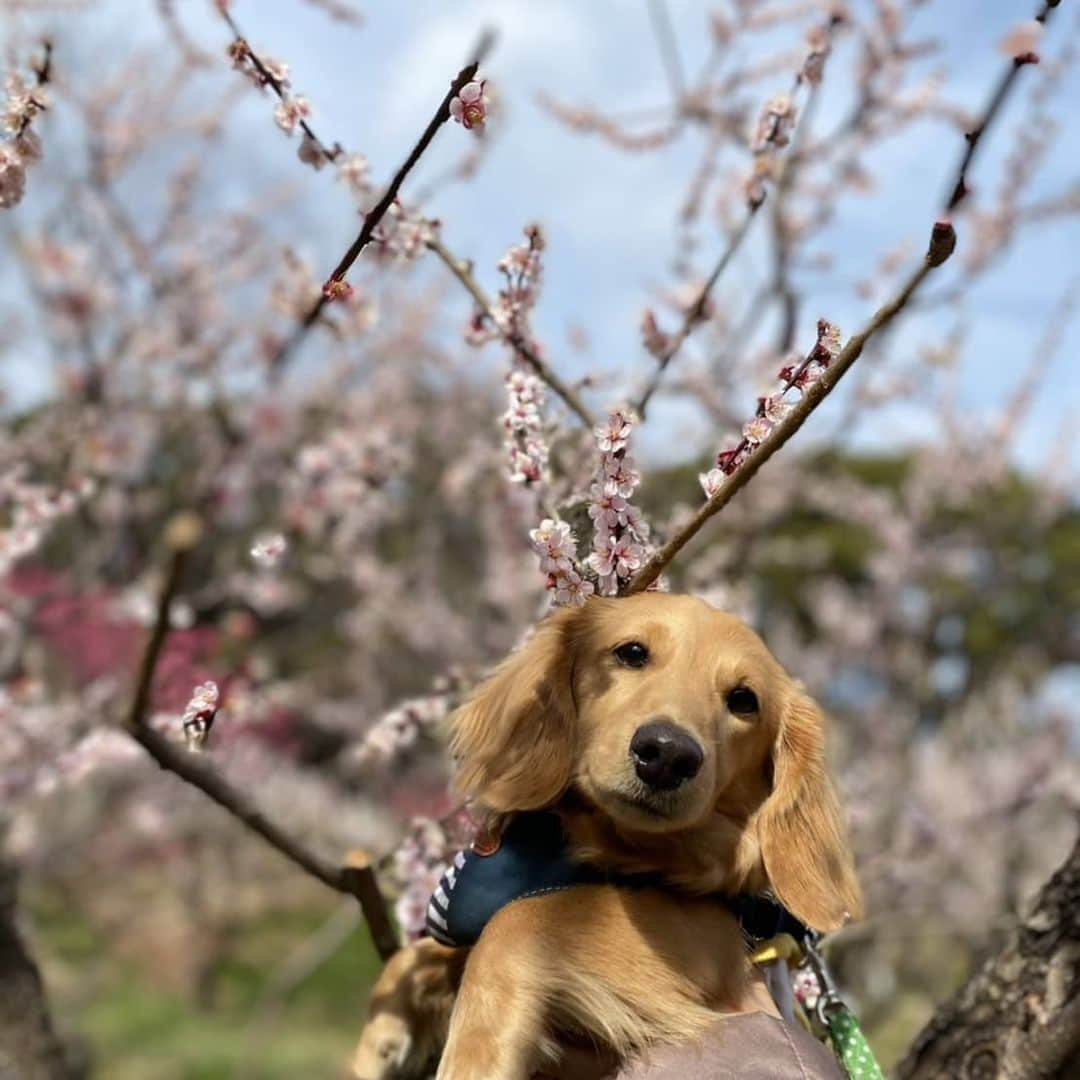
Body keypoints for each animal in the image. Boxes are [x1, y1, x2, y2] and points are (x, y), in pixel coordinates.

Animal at [406, 596, 859, 1075]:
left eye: (743, 700)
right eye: (632, 653)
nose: (667, 755)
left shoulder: (703, 937)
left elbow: (521, 915)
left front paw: (473, 1058)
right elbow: (422, 951)